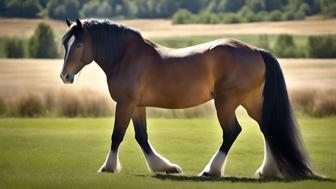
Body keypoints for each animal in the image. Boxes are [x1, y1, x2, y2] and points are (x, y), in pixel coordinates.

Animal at [59, 18, 318, 179]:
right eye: (65, 43)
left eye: (79, 44)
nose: (65, 76)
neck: (125, 56)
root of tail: (257, 51)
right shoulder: (136, 105)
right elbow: (142, 137)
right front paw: (165, 167)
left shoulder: (124, 103)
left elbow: (117, 135)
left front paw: (108, 167)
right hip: (252, 101)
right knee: (267, 127)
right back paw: (267, 171)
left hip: (226, 102)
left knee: (232, 132)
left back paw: (211, 171)